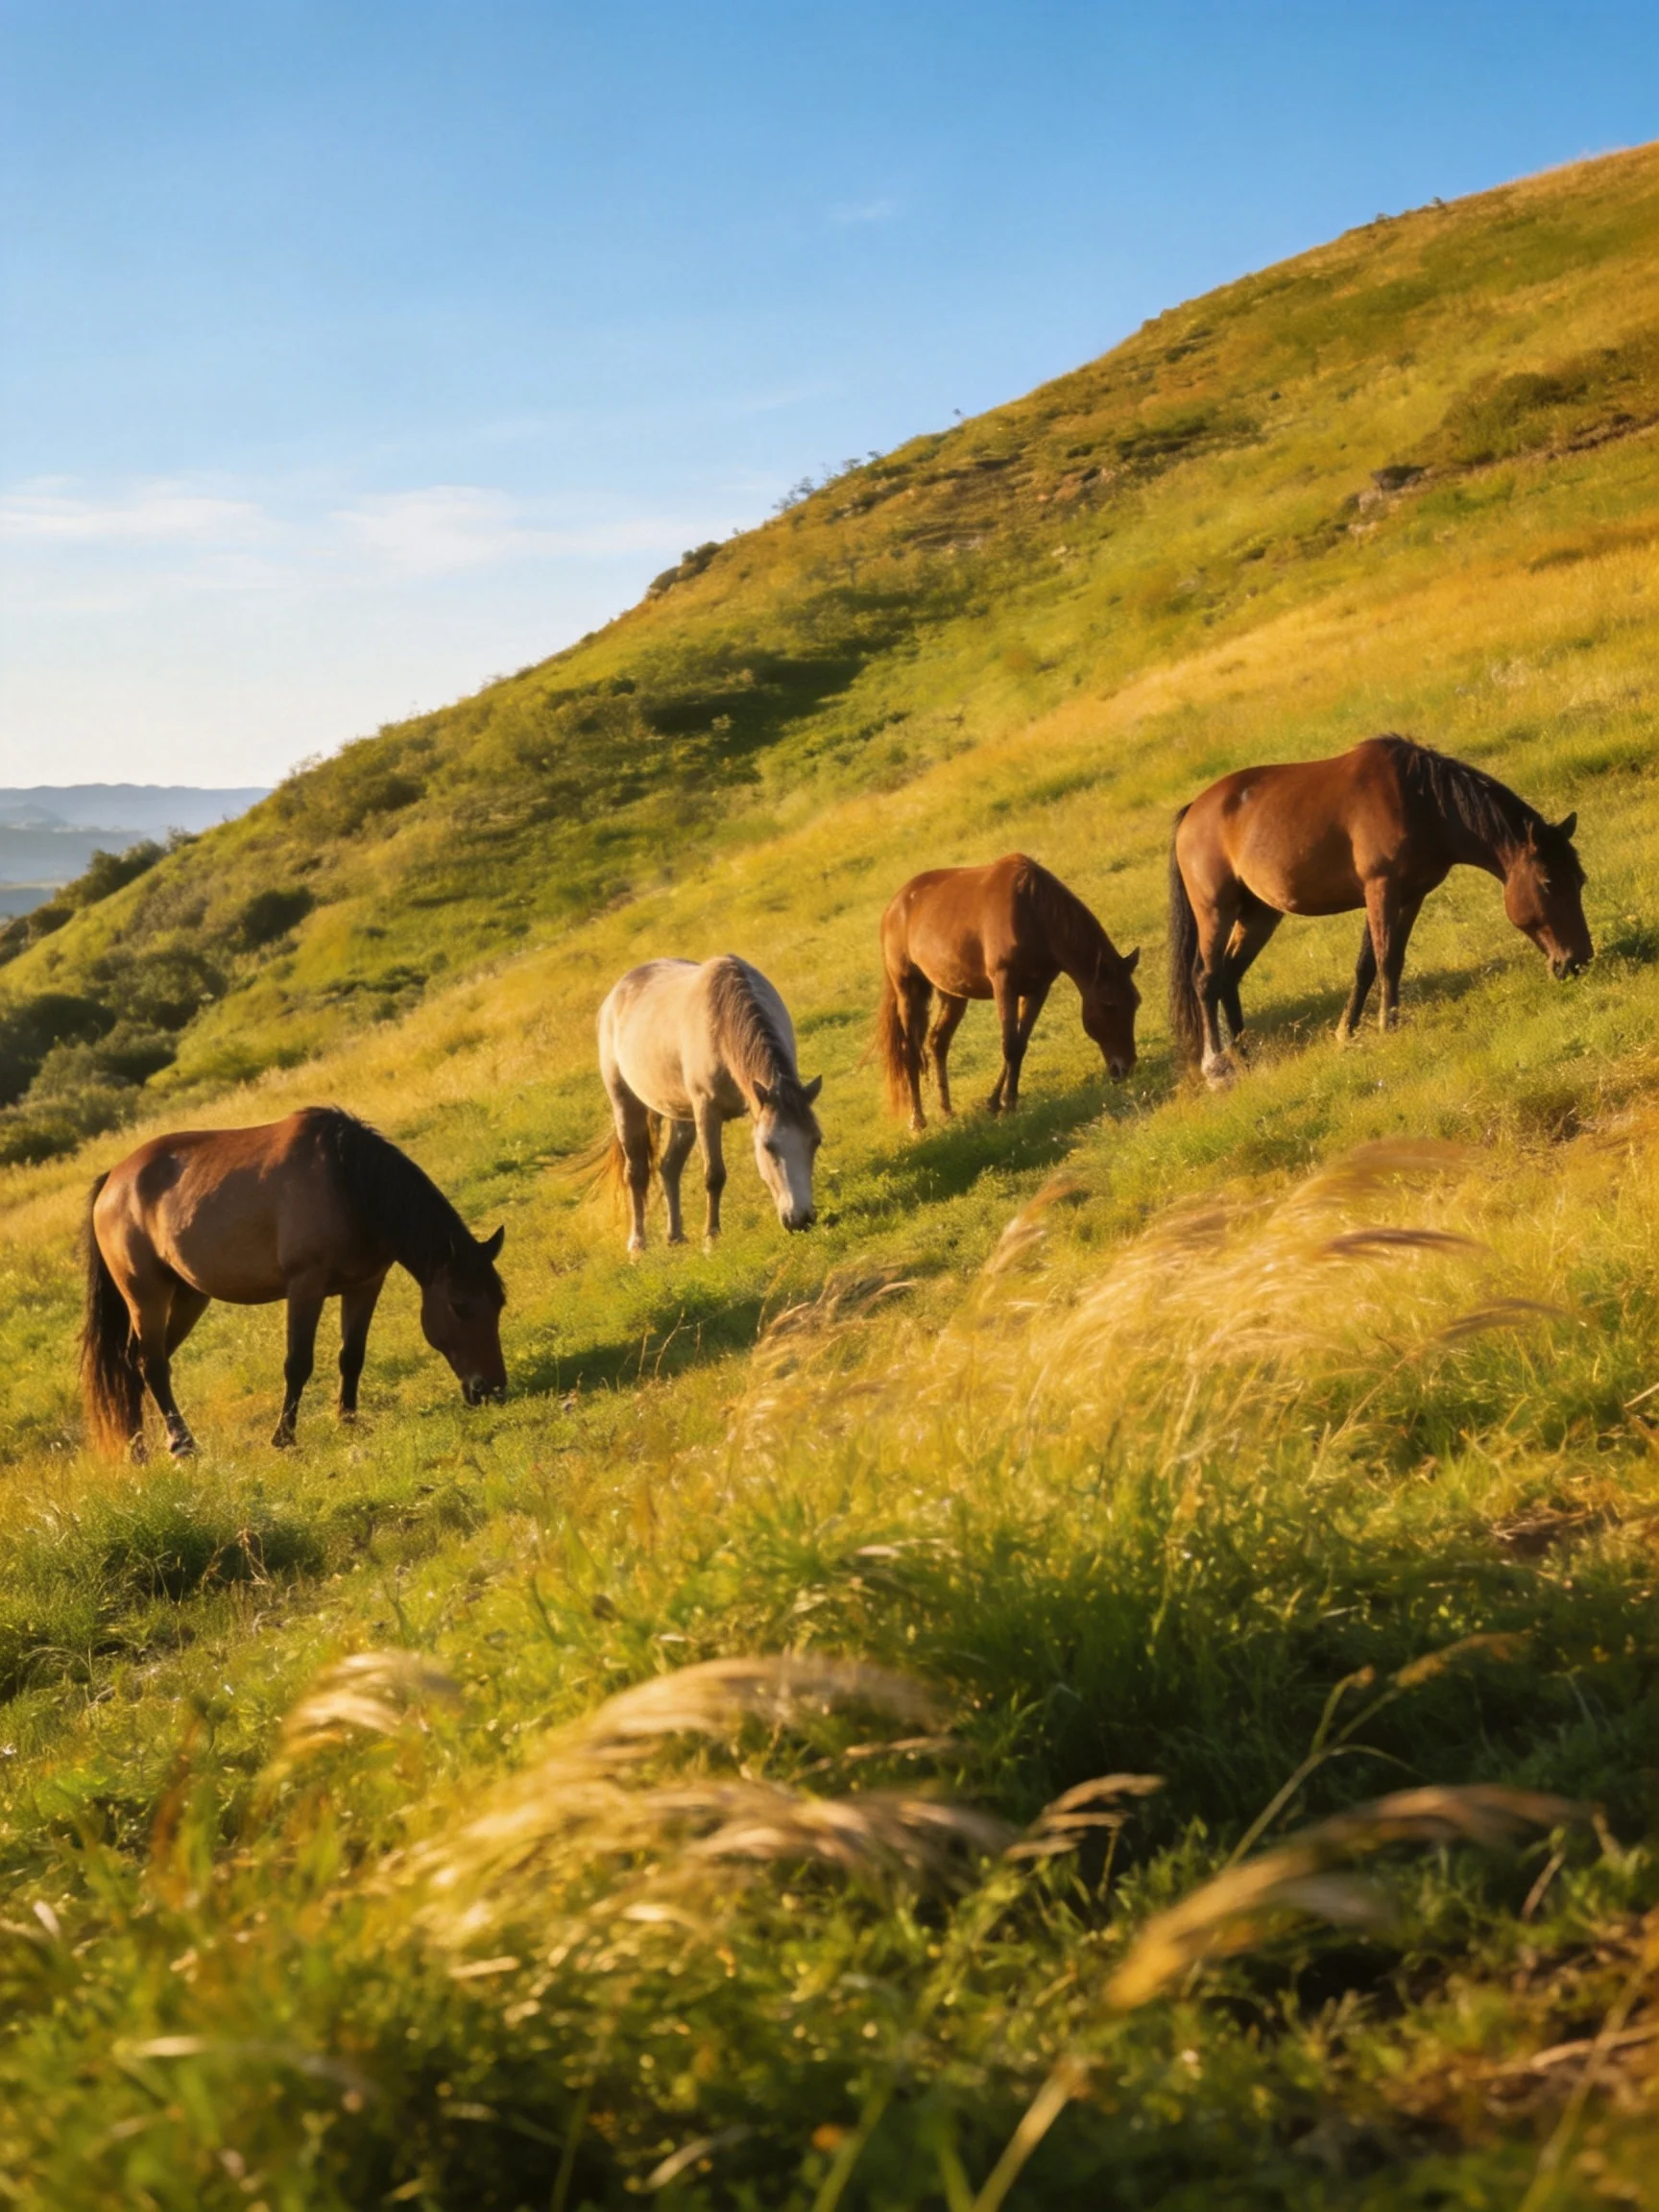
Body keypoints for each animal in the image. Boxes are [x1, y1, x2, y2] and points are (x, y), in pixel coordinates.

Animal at [82, 1106, 506, 1459]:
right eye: (458, 1306)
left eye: (499, 1304)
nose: (492, 1390)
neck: (346, 1182)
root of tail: (111, 1183)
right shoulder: (305, 1286)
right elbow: (298, 1363)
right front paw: (284, 1437)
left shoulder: (366, 1285)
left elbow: (352, 1356)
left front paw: (348, 1420)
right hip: (146, 1295)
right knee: (151, 1364)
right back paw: (182, 1445)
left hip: (188, 1296)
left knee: (138, 1365)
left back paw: (139, 1449)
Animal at [598, 955, 822, 1253]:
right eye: (768, 1146)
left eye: (816, 1141)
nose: (801, 1220)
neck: (721, 1023)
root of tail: (615, 994)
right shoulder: (707, 1111)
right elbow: (714, 1175)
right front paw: (711, 1238)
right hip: (625, 1103)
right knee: (636, 1173)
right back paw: (638, 1244)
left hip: (681, 1114)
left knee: (669, 1167)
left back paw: (675, 1235)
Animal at [875, 853, 1140, 1131]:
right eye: (1109, 1004)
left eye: (1136, 1003)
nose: (1125, 1067)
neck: (1034, 913)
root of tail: (894, 907)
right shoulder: (1005, 985)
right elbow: (1010, 1044)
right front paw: (1008, 1104)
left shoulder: (1037, 990)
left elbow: (1019, 1043)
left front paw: (997, 1102)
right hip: (908, 989)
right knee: (910, 1050)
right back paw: (918, 1119)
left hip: (953, 992)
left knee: (938, 1041)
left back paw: (947, 1110)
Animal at [1168, 734, 1591, 1083]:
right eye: (1548, 882)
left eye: (1580, 880)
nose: (1578, 961)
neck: (1422, 803)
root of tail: (1192, 813)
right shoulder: (1381, 888)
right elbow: (1385, 960)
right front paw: (1389, 1026)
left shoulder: (1409, 895)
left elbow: (1372, 963)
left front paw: (1348, 1032)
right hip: (1216, 911)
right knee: (1206, 978)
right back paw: (1217, 1067)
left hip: (1259, 914)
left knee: (1229, 977)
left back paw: (1244, 1057)